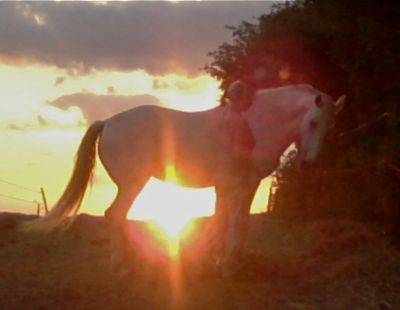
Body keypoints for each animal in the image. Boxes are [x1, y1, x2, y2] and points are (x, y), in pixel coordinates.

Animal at [25, 82, 346, 276]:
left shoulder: (248, 185)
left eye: (330, 125)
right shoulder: (231, 185)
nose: (310, 164)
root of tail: (108, 123)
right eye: (313, 122)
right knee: (114, 214)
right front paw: (223, 265)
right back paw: (122, 266)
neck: (253, 125)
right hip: (133, 183)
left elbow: (237, 223)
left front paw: (230, 262)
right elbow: (226, 222)